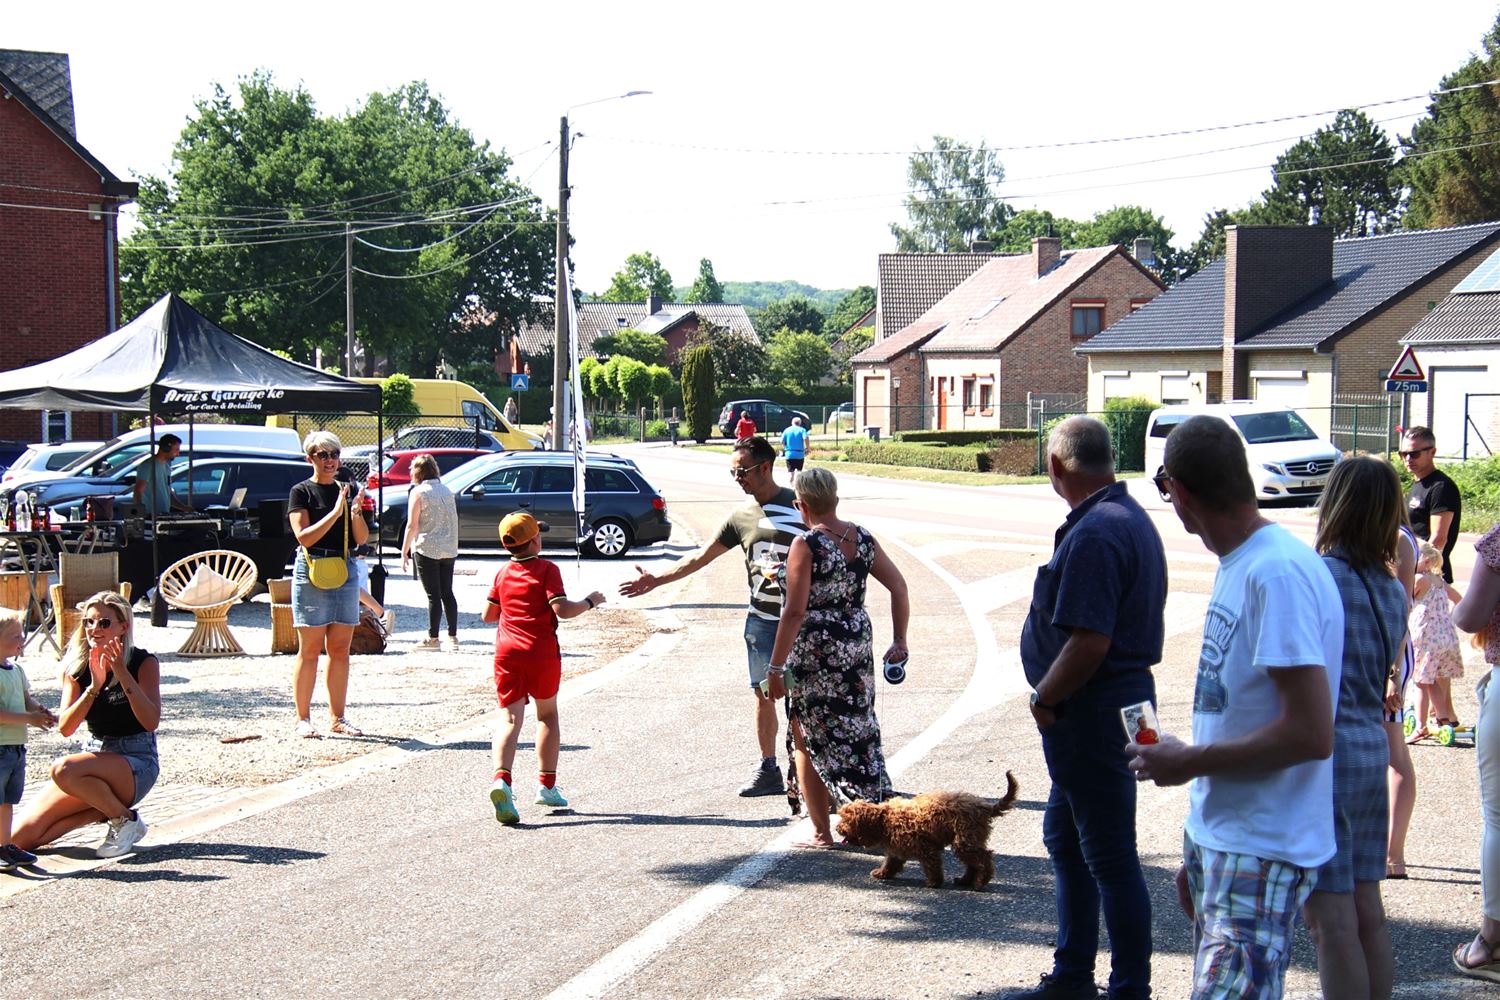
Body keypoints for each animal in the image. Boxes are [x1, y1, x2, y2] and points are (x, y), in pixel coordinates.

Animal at [835, 771, 1019, 889]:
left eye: (846, 820)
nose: (837, 828)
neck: (884, 819)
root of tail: (984, 807)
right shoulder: (896, 849)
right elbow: (891, 862)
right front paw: (882, 873)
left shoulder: (925, 847)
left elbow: (932, 865)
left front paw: (934, 883)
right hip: (967, 840)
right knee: (973, 863)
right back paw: (965, 880)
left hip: (965, 838)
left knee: (984, 858)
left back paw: (981, 882)